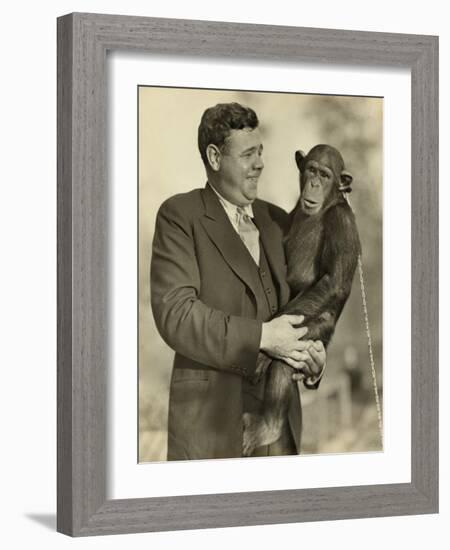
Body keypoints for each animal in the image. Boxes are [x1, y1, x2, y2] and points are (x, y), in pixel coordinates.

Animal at [243, 146, 362, 458]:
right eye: (311, 170)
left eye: (326, 175)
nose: (315, 184)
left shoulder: (343, 222)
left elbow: (332, 281)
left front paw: (260, 355)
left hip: (315, 331)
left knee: (285, 359)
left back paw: (269, 426)